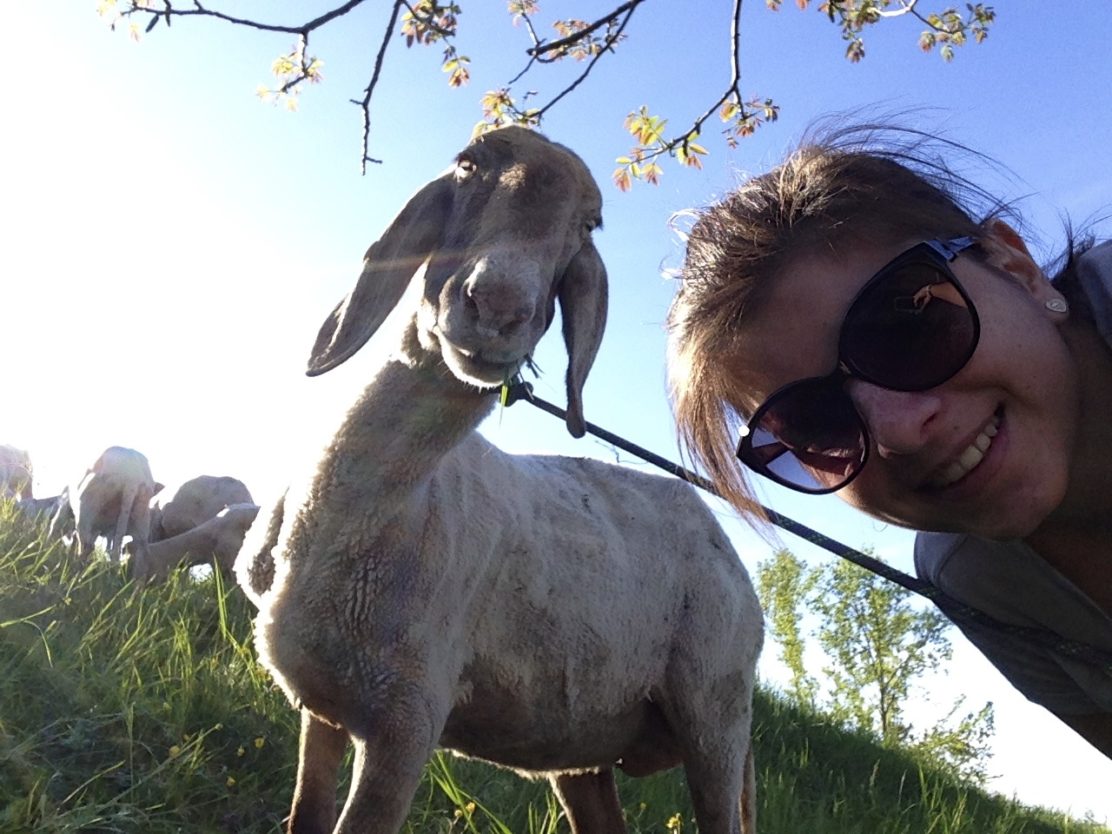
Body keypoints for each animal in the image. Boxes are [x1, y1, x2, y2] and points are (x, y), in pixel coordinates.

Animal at [236, 126, 763, 834]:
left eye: (588, 223)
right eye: (467, 166)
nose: (499, 306)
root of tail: (728, 549)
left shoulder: (407, 716)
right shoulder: (321, 702)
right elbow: (305, 815)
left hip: (716, 712)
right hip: (586, 743)